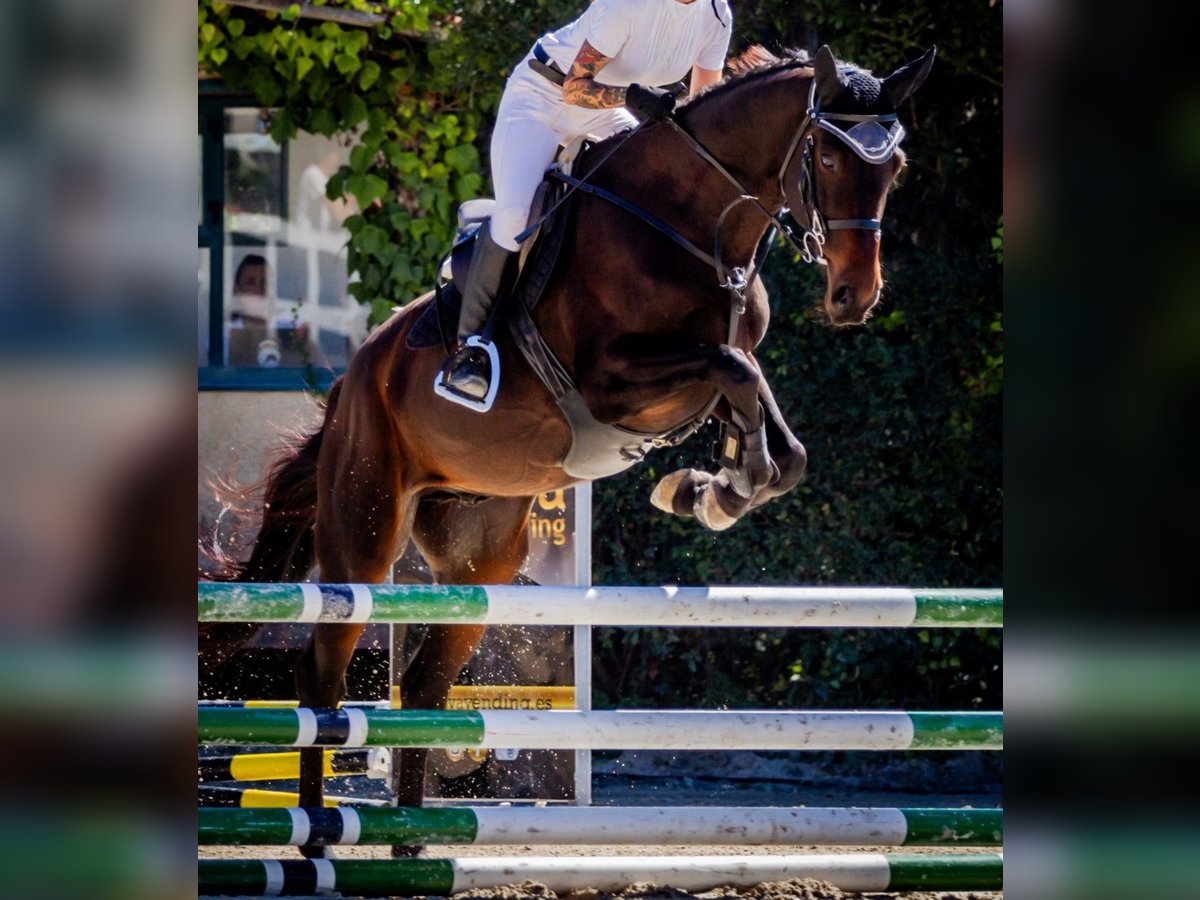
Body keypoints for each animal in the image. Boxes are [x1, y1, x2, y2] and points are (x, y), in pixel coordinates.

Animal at [201, 44, 936, 859]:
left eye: (896, 165)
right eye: (828, 157)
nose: (854, 298)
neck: (694, 228)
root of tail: (347, 384)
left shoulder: (709, 374)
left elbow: (778, 435)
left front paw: (711, 489)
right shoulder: (615, 384)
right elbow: (736, 376)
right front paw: (714, 487)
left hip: (479, 556)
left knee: (423, 685)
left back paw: (413, 846)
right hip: (363, 532)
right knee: (320, 676)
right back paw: (321, 840)